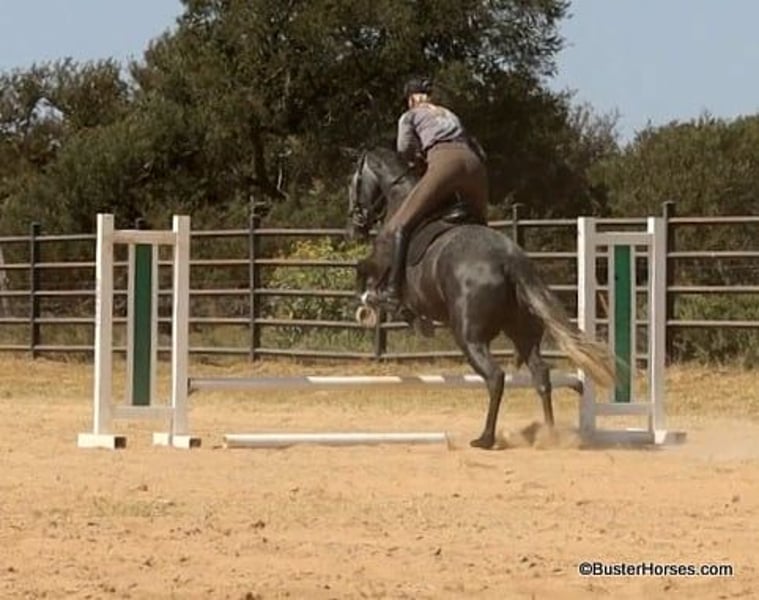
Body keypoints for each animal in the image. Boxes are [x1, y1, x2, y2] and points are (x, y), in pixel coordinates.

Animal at [347, 146, 616, 449]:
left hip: (469, 337)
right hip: (522, 332)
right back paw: (549, 434)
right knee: (540, 374)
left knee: (495, 377)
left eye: (352, 182)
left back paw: (485, 438)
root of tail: (510, 260)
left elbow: (363, 274)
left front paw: (370, 307)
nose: (354, 226)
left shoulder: (379, 262)